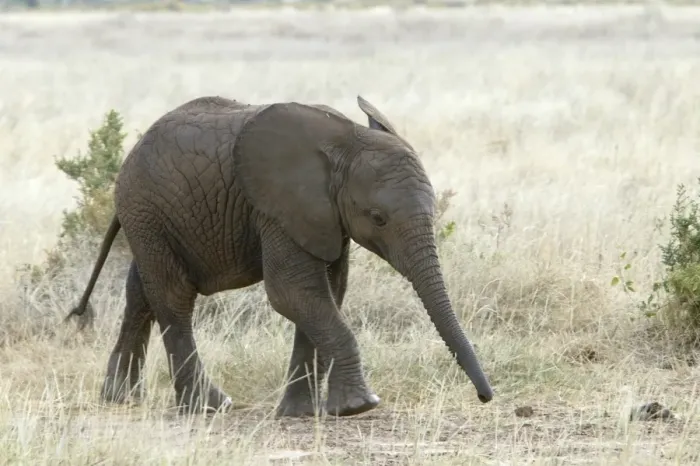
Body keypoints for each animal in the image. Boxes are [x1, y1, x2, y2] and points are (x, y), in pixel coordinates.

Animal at [64, 94, 494, 418]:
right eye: (378, 218)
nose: (485, 397)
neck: (345, 141)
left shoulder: (324, 217)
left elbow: (326, 295)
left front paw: (301, 414)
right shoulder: (276, 209)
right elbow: (292, 293)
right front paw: (359, 406)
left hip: (152, 218)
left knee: (141, 293)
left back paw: (121, 398)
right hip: (147, 210)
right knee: (173, 299)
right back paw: (210, 407)